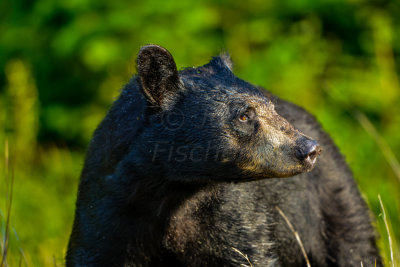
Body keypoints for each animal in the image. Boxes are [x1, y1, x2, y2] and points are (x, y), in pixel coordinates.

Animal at [67, 45, 382, 266]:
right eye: (244, 115)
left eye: (271, 108)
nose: (308, 149)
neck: (171, 190)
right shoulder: (108, 211)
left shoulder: (232, 216)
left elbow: (246, 253)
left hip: (332, 204)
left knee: (355, 247)